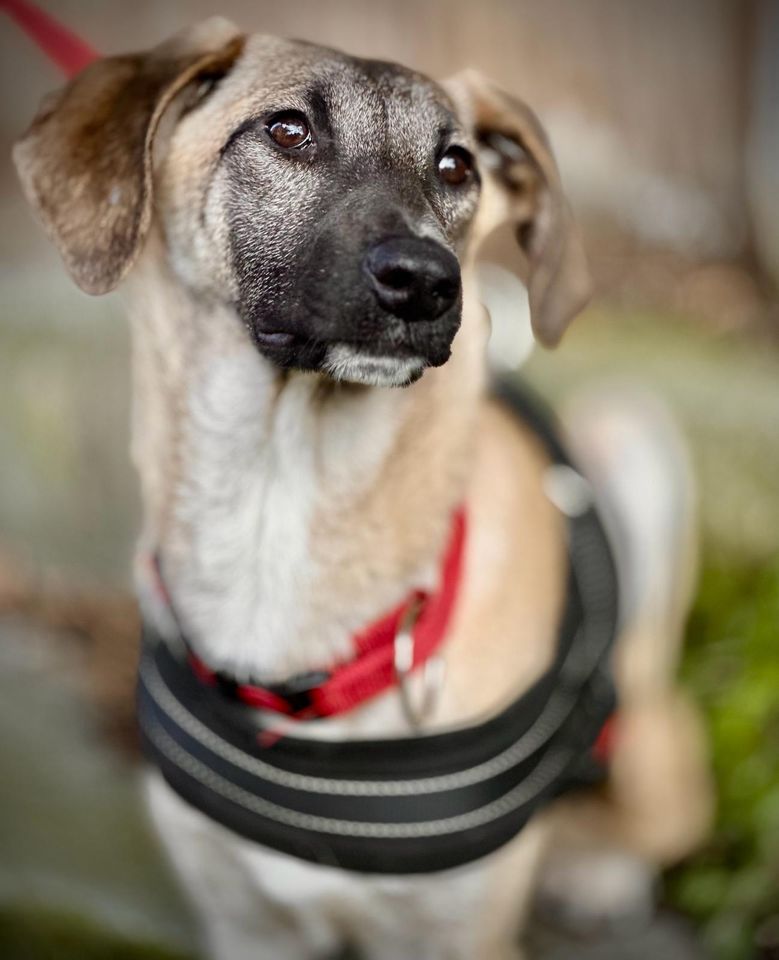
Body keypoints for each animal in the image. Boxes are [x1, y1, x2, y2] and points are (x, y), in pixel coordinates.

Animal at [15, 16, 712, 960]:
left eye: (455, 165)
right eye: (286, 130)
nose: (425, 281)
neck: (281, 511)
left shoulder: (453, 934)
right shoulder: (242, 924)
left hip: (632, 436)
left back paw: (602, 869)